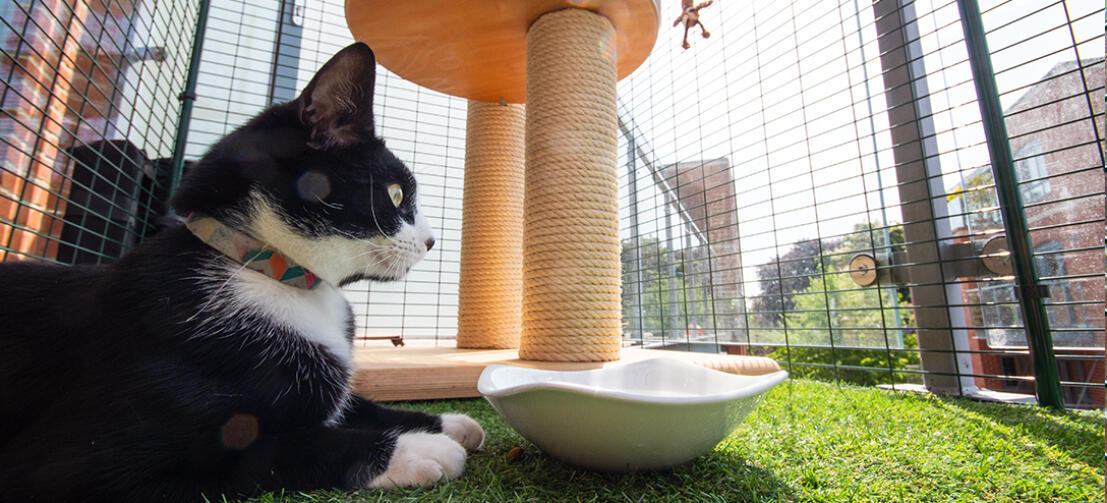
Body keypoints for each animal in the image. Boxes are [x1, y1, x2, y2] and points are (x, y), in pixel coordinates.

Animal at [1, 44, 484, 502]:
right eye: (397, 193)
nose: (431, 241)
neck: (272, 272)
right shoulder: (74, 458)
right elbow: (276, 449)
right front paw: (416, 449)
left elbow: (355, 403)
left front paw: (451, 423)